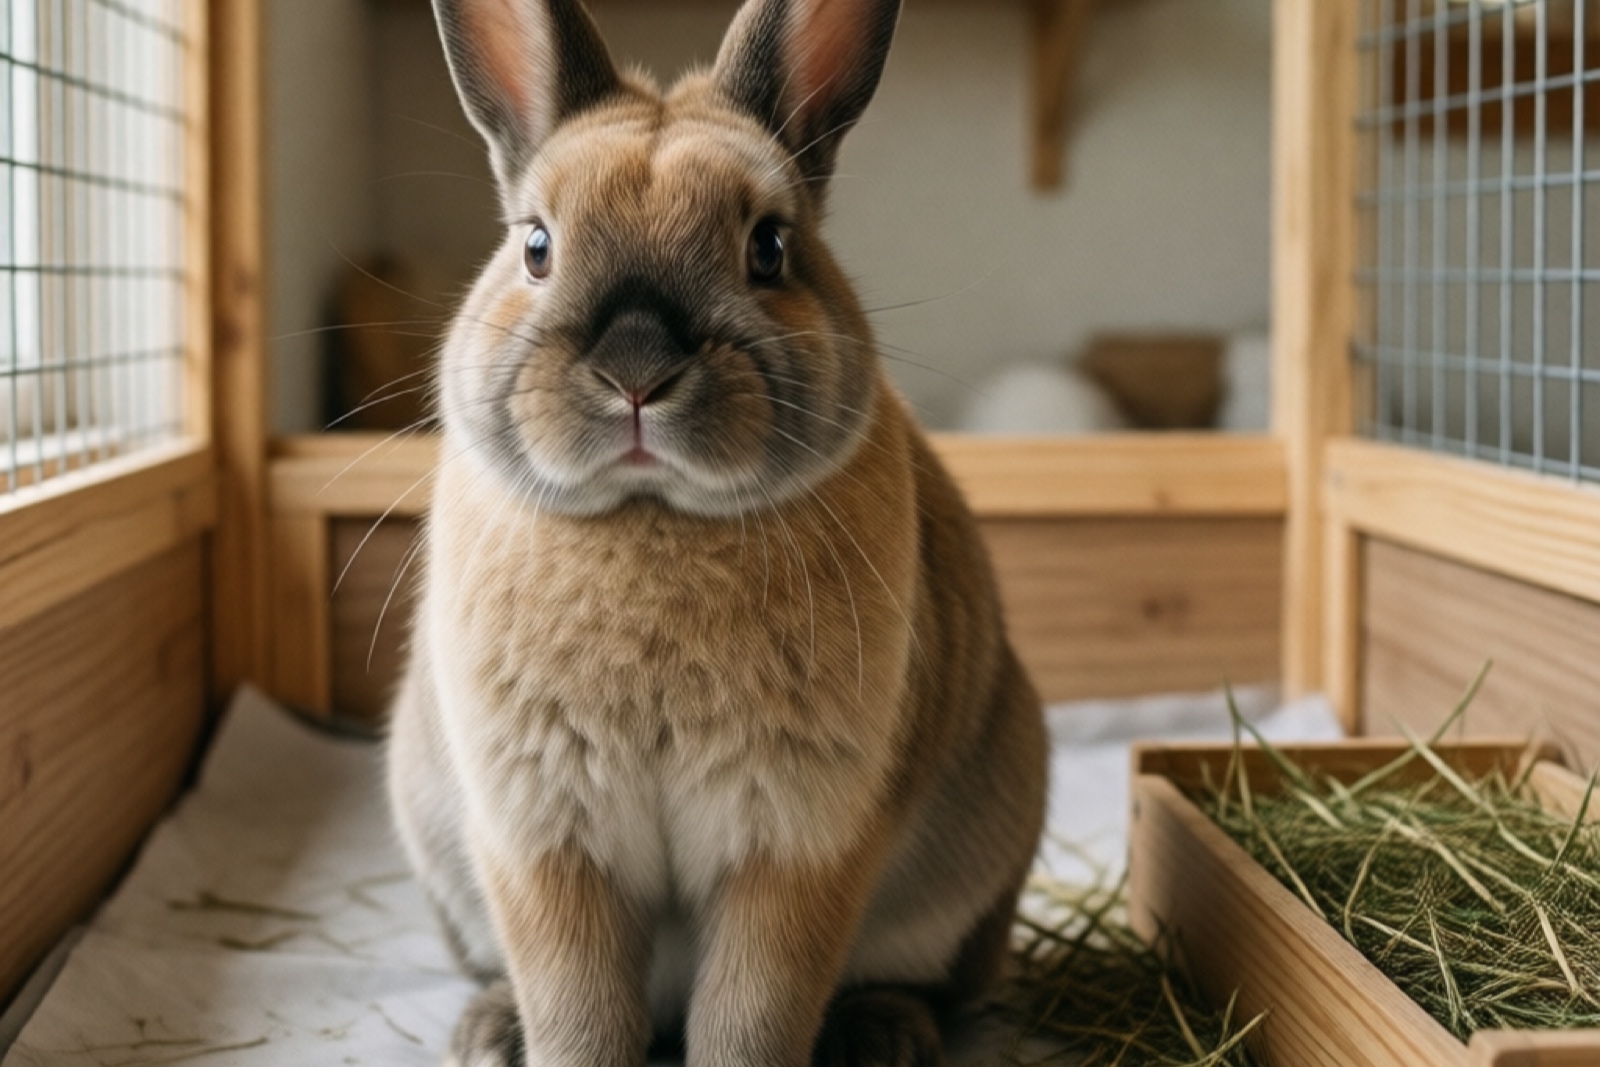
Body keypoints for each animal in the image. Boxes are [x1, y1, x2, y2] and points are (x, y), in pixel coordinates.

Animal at [385, 0, 1049, 1064]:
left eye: (769, 248)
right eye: (536, 246)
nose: (636, 368)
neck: (653, 516)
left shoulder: (792, 847)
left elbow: (752, 1013)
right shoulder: (546, 844)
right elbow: (579, 1011)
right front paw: (541, 1040)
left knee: (936, 984)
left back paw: (882, 1034)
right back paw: (492, 1029)